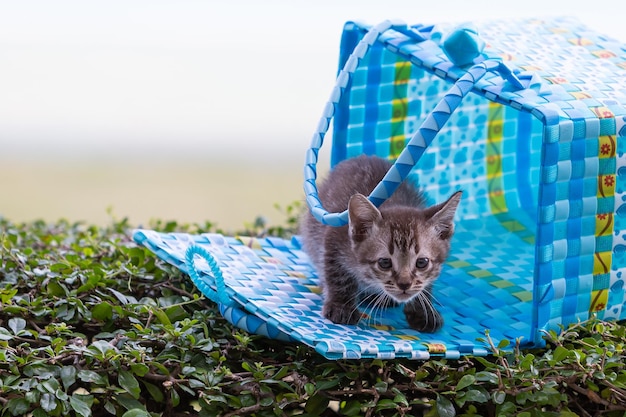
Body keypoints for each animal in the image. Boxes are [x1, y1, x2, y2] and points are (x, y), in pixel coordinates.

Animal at [300, 154, 460, 334]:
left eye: (422, 262)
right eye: (384, 263)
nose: (404, 284)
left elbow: (426, 284)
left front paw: (423, 310)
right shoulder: (334, 237)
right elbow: (338, 276)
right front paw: (341, 306)